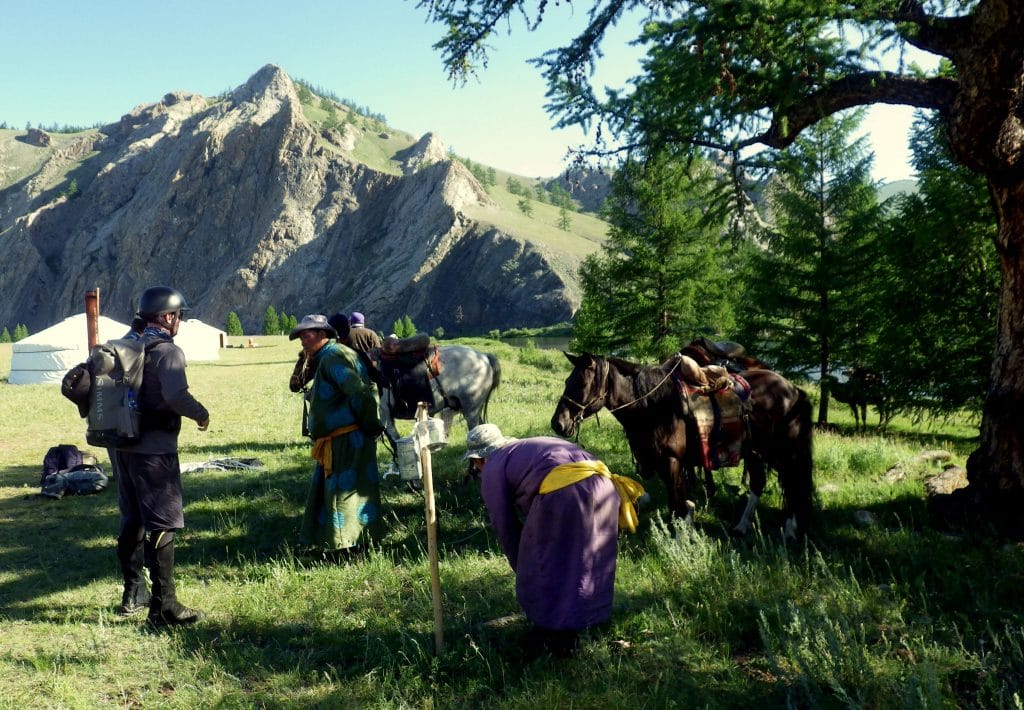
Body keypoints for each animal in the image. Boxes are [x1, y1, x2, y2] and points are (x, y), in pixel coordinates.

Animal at [552, 348, 815, 536]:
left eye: (582, 383)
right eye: (566, 381)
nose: (558, 423)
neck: (653, 406)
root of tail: (793, 389)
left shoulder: (671, 461)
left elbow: (677, 504)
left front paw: (679, 539)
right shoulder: (665, 464)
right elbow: (677, 501)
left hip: (782, 451)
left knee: (793, 482)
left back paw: (789, 530)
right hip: (756, 452)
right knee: (761, 483)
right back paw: (742, 527)